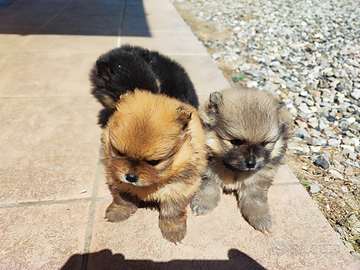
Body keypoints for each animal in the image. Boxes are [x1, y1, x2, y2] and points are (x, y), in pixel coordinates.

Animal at [102, 89, 208, 244]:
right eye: (120, 153)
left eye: (153, 162)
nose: (131, 177)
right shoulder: (117, 178)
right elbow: (122, 197)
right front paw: (119, 211)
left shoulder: (179, 188)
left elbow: (172, 211)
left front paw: (173, 229)